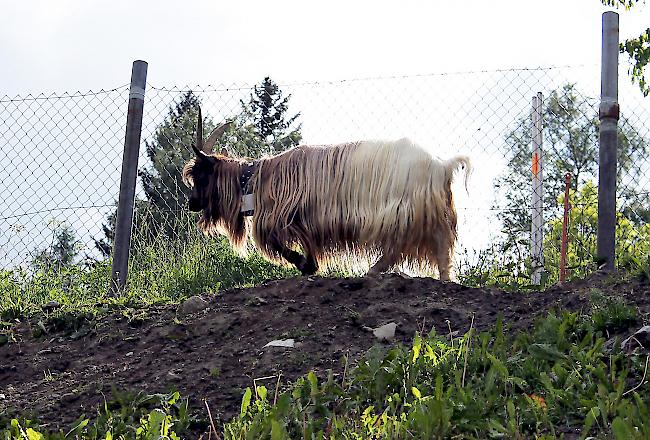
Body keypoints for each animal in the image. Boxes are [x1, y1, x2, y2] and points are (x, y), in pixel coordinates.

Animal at [180, 110, 468, 282]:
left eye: (201, 176)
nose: (192, 203)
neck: (256, 180)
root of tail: (441, 166)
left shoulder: (284, 215)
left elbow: (279, 243)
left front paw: (305, 265)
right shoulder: (306, 219)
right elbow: (307, 242)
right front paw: (310, 264)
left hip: (404, 210)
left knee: (400, 246)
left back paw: (373, 271)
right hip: (431, 214)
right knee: (438, 249)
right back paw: (444, 279)